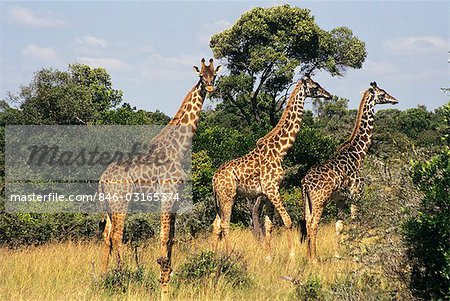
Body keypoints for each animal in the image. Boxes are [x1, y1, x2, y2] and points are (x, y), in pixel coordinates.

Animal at [100, 58, 223, 298]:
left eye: (214, 75)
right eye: (201, 76)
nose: (211, 87)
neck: (179, 148)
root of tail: (102, 180)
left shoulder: (176, 195)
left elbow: (172, 236)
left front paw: (169, 271)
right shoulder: (167, 192)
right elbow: (164, 236)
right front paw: (163, 276)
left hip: (109, 206)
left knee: (106, 236)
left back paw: (102, 277)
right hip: (121, 202)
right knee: (116, 236)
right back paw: (122, 275)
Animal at [210, 75, 330, 258]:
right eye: (315, 86)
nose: (328, 95)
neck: (280, 151)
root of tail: (214, 178)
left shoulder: (267, 193)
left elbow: (268, 225)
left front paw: (268, 256)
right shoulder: (272, 188)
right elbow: (287, 220)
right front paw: (292, 254)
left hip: (221, 198)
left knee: (216, 225)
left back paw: (213, 255)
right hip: (228, 196)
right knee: (225, 224)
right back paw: (228, 254)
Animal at [300, 81, 396, 260]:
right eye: (382, 93)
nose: (394, 99)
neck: (358, 154)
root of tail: (305, 183)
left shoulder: (340, 199)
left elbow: (339, 226)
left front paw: (337, 255)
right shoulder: (356, 194)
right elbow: (355, 223)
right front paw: (356, 254)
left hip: (307, 201)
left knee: (307, 222)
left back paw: (308, 256)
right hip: (320, 200)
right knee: (313, 224)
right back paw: (314, 258)